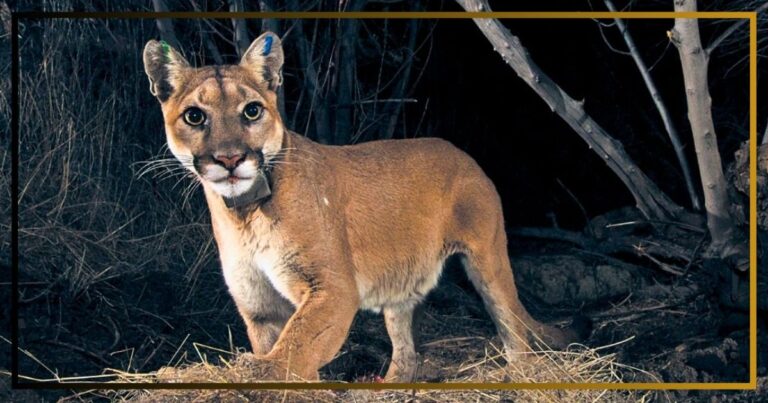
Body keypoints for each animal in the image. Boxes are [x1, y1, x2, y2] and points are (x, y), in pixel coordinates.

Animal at [144, 31, 588, 382]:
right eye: (195, 116)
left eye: (251, 110)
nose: (230, 158)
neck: (244, 213)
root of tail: (462, 152)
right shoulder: (257, 306)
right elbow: (285, 347)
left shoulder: (332, 288)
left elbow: (295, 346)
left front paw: (263, 373)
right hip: (401, 284)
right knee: (406, 352)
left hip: (488, 258)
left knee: (512, 326)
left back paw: (519, 373)